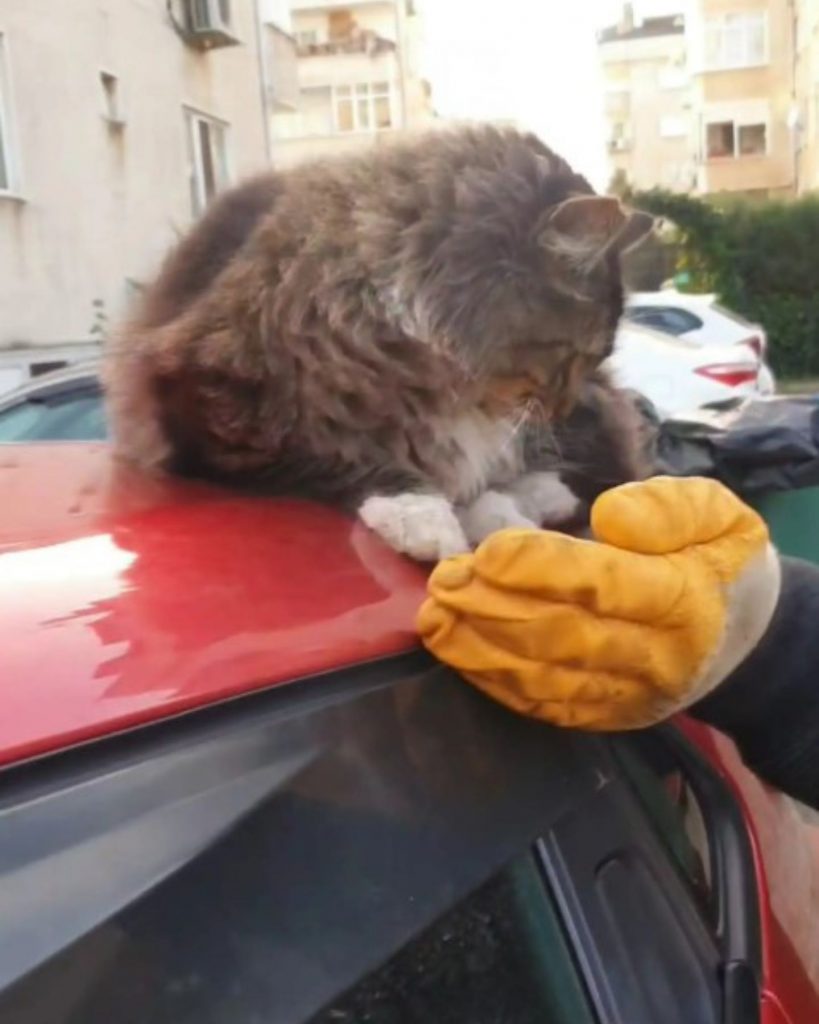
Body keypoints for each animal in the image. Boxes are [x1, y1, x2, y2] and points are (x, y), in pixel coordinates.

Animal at [105, 129, 651, 565]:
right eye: (574, 354)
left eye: (591, 358)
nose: (562, 406)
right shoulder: (212, 410)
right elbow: (352, 461)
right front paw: (425, 519)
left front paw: (497, 514)